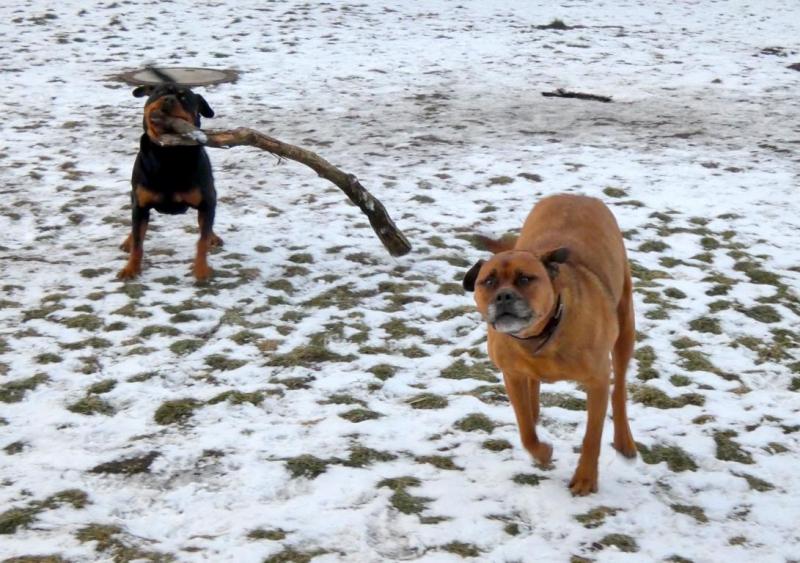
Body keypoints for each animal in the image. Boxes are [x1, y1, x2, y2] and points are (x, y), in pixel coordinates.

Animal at [118, 68, 221, 281]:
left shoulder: (207, 202)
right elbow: (138, 242)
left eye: (184, 99)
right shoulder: (140, 205)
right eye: (160, 92)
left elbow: (202, 240)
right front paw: (131, 269)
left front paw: (201, 270)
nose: (169, 99)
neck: (168, 154)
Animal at [462, 194, 637, 495]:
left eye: (525, 279)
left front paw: (585, 478)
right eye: (489, 281)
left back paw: (624, 439)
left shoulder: (597, 380)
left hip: (625, 325)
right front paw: (541, 452)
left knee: (620, 389)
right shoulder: (511, 373)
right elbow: (525, 428)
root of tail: (579, 196)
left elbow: (592, 435)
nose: (504, 296)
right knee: (532, 395)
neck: (542, 333)